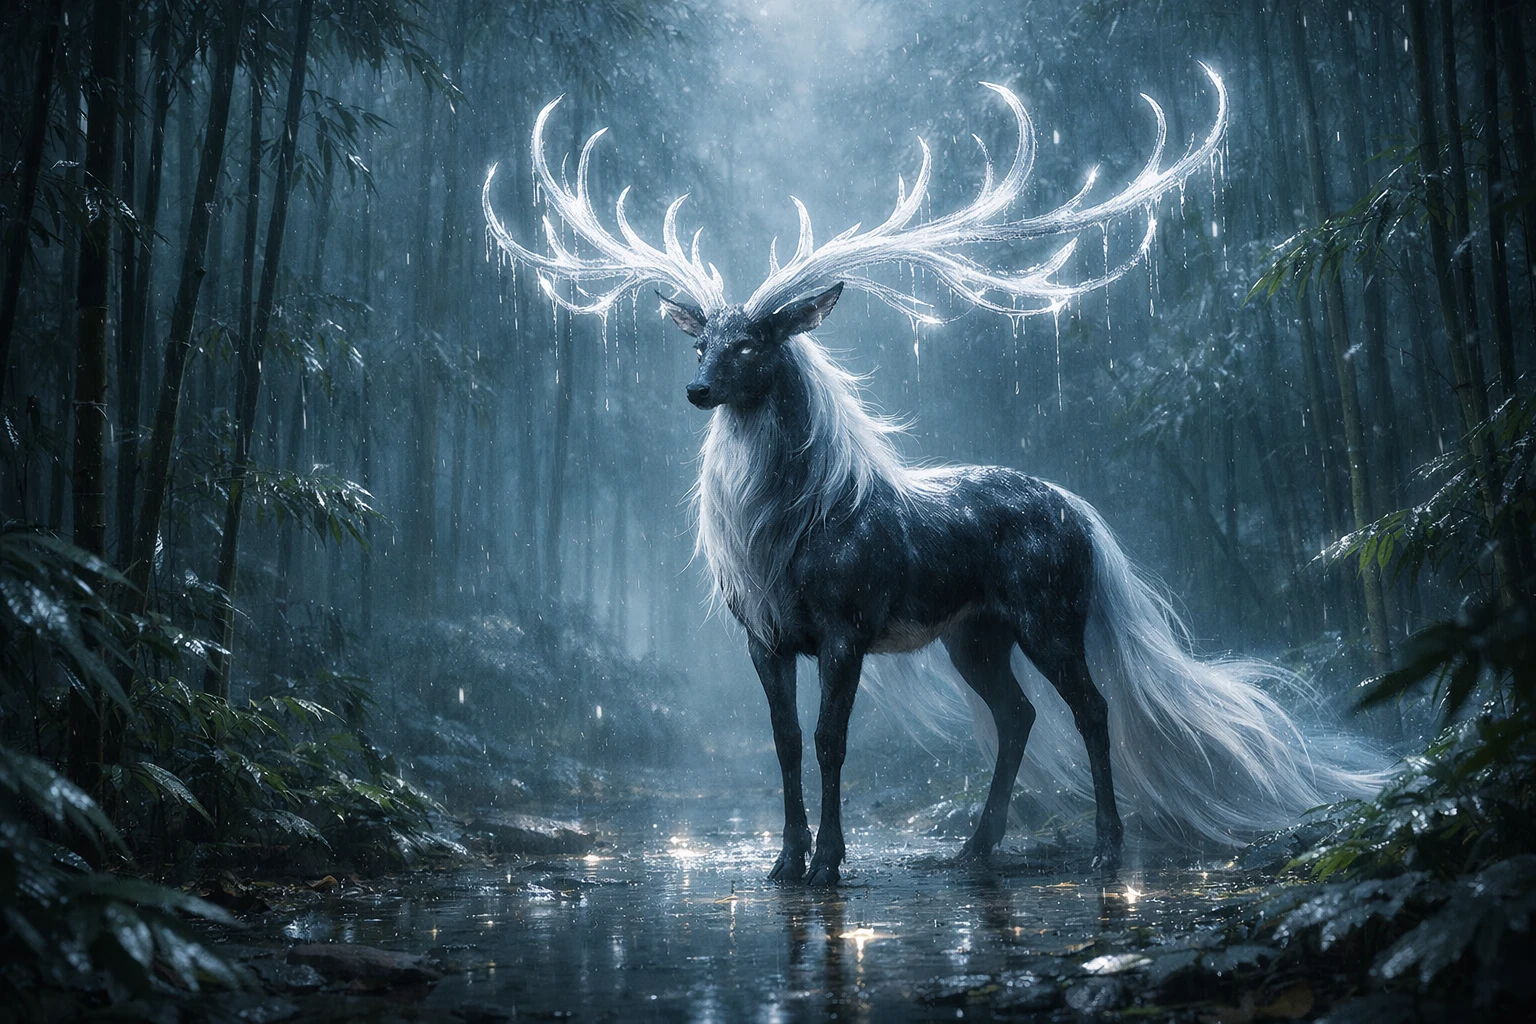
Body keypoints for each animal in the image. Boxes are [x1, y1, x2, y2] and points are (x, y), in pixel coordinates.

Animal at [483, 66, 1383, 885]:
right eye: (701, 341)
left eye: (756, 342)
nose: (697, 390)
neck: (780, 536)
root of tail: (1084, 515)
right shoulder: (763, 634)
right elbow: (782, 744)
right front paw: (784, 862)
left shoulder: (846, 625)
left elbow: (830, 741)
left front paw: (829, 862)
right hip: (973, 633)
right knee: (1018, 715)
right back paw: (973, 848)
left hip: (1048, 610)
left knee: (1090, 706)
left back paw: (1104, 849)